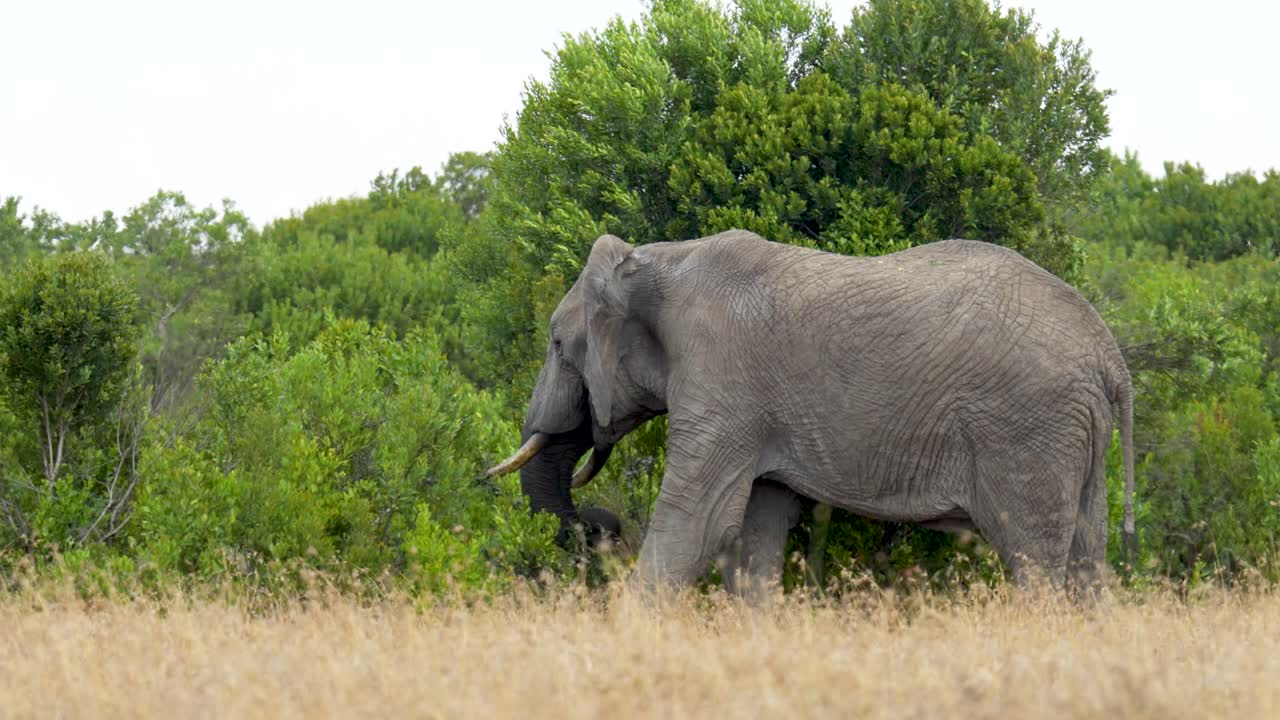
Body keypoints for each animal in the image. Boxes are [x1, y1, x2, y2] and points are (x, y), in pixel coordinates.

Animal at [488, 229, 1135, 598]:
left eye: (556, 344)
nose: (607, 525)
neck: (656, 263)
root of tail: (1109, 355)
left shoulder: (721, 376)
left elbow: (700, 522)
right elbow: (754, 533)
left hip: (1030, 432)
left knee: (1034, 563)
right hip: (1074, 436)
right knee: (1087, 561)